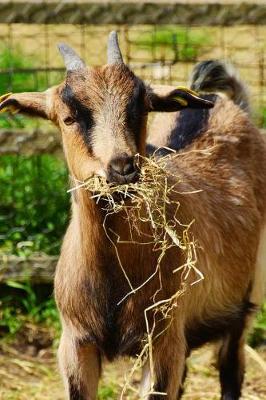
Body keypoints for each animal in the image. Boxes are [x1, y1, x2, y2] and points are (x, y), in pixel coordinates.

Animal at [1, 32, 264, 400]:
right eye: (69, 117)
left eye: (140, 108)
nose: (122, 167)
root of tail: (229, 104)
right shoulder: (76, 344)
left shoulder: (163, 340)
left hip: (246, 299)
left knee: (231, 366)